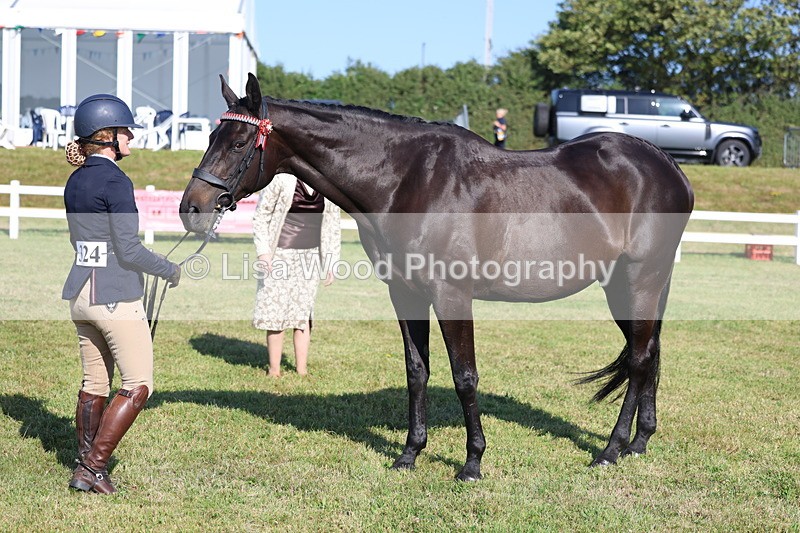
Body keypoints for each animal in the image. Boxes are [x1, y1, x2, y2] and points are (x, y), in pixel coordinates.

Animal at [179, 73, 694, 481]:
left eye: (239, 143)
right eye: (210, 136)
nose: (191, 209)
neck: (406, 180)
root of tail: (668, 165)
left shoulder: (451, 295)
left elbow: (464, 376)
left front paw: (472, 463)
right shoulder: (405, 293)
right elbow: (417, 372)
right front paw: (410, 454)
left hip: (640, 280)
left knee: (640, 357)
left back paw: (611, 449)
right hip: (623, 287)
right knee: (649, 352)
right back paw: (639, 442)